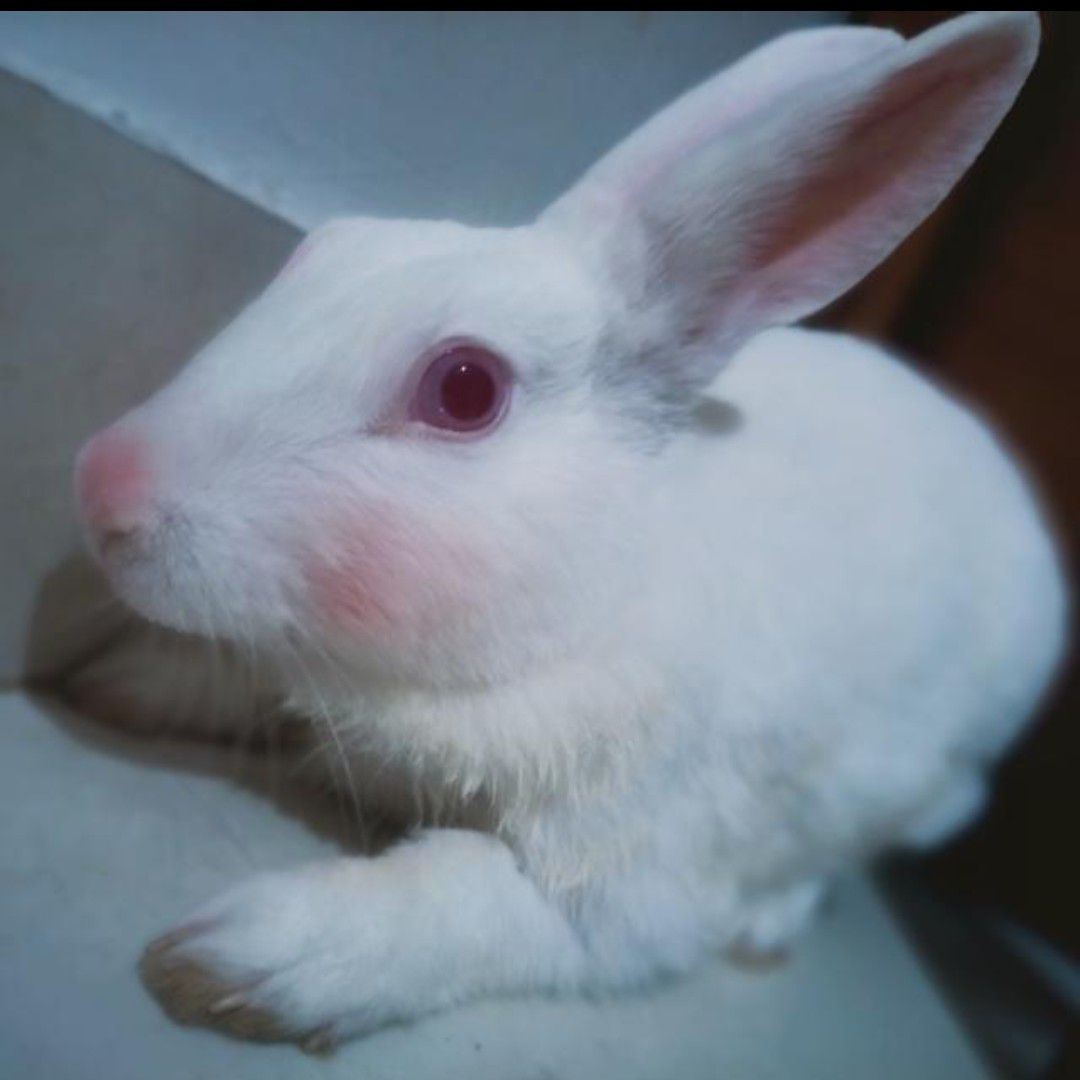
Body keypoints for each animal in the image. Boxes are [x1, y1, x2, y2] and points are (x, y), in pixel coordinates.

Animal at [66, 10, 1066, 1051]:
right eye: (321, 254)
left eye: (466, 389)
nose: (105, 486)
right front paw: (119, 682)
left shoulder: (625, 886)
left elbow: (459, 904)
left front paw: (238, 961)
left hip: (915, 786)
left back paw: (767, 925)